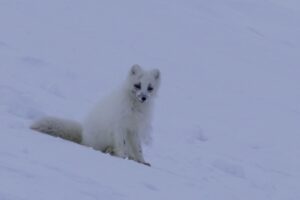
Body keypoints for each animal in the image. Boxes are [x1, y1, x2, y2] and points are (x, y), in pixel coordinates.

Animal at [30, 65, 161, 166]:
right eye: (137, 85)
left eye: (150, 88)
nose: (143, 97)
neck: (135, 109)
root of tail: (83, 135)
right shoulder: (119, 126)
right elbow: (121, 144)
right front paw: (123, 157)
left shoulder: (134, 129)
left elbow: (138, 148)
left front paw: (142, 161)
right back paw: (111, 151)